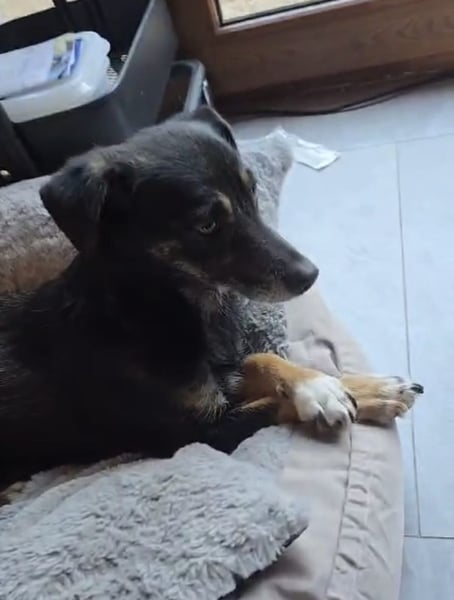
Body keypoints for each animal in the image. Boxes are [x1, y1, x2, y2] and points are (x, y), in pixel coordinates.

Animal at [0, 107, 423, 488]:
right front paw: (319, 396)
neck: (157, 305)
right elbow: (271, 405)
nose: (310, 275)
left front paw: (358, 388)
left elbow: (261, 358)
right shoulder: (197, 435)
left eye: (252, 190)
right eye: (206, 225)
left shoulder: (222, 374)